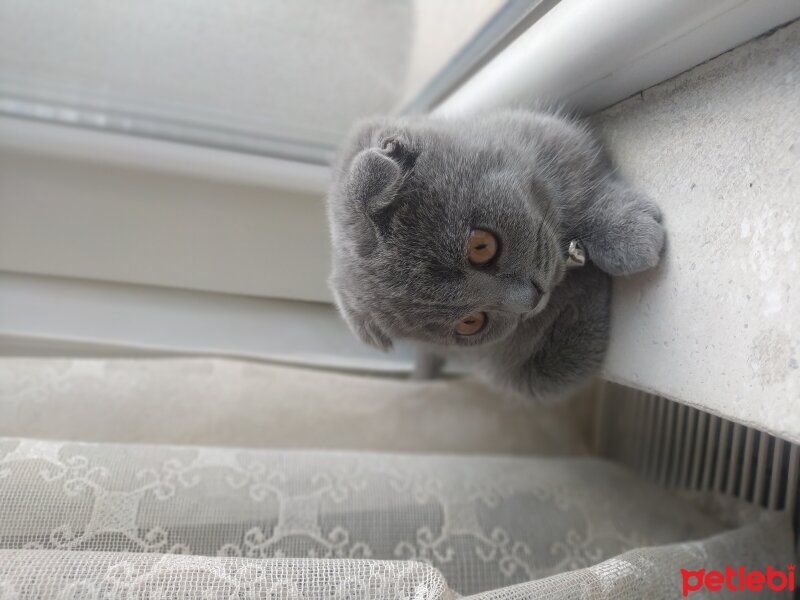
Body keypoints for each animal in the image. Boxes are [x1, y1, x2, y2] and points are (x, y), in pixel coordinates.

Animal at [324, 111, 664, 404]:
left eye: (480, 246)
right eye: (470, 323)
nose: (532, 298)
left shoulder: (549, 140)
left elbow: (586, 181)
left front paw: (625, 233)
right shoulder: (513, 371)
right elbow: (554, 373)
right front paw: (586, 278)